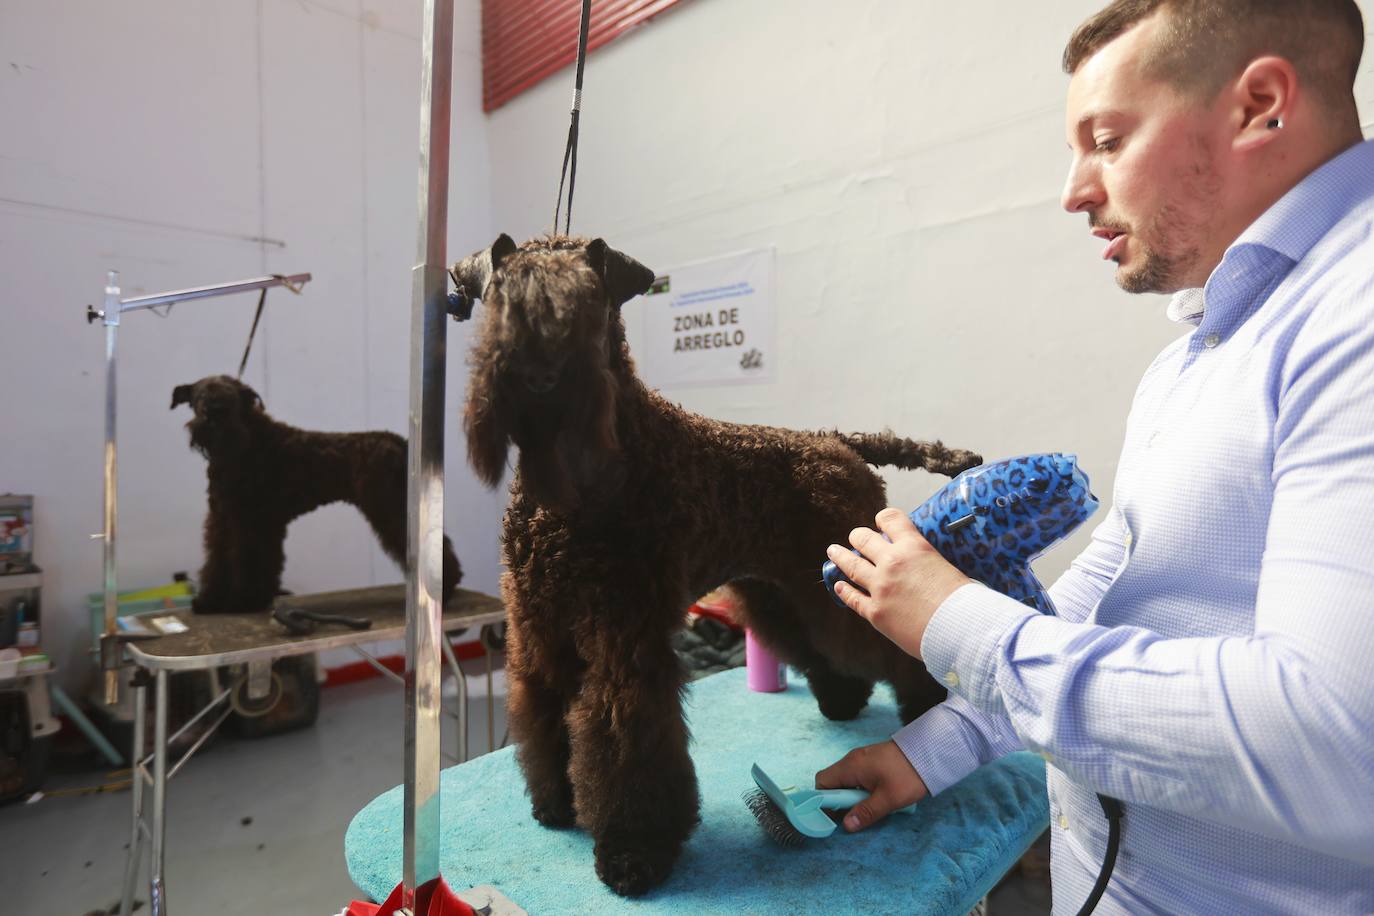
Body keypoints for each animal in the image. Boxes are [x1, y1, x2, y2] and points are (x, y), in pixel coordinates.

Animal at [170, 373, 461, 615]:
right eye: (200, 396)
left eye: (231, 396)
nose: (214, 417)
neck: (247, 444)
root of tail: (399, 442)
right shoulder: (225, 520)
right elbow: (218, 558)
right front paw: (211, 601)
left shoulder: (250, 522)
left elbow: (248, 558)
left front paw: (244, 601)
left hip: (390, 508)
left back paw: (446, 587)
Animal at [447, 234, 978, 895]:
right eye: (500, 301)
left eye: (589, 304)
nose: (540, 377)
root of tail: (840, 440)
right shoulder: (538, 628)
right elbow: (543, 706)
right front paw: (556, 803)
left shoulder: (626, 641)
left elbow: (628, 735)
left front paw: (635, 850)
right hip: (780, 589)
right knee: (821, 651)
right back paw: (843, 701)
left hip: (841, 586)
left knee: (895, 651)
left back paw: (928, 714)